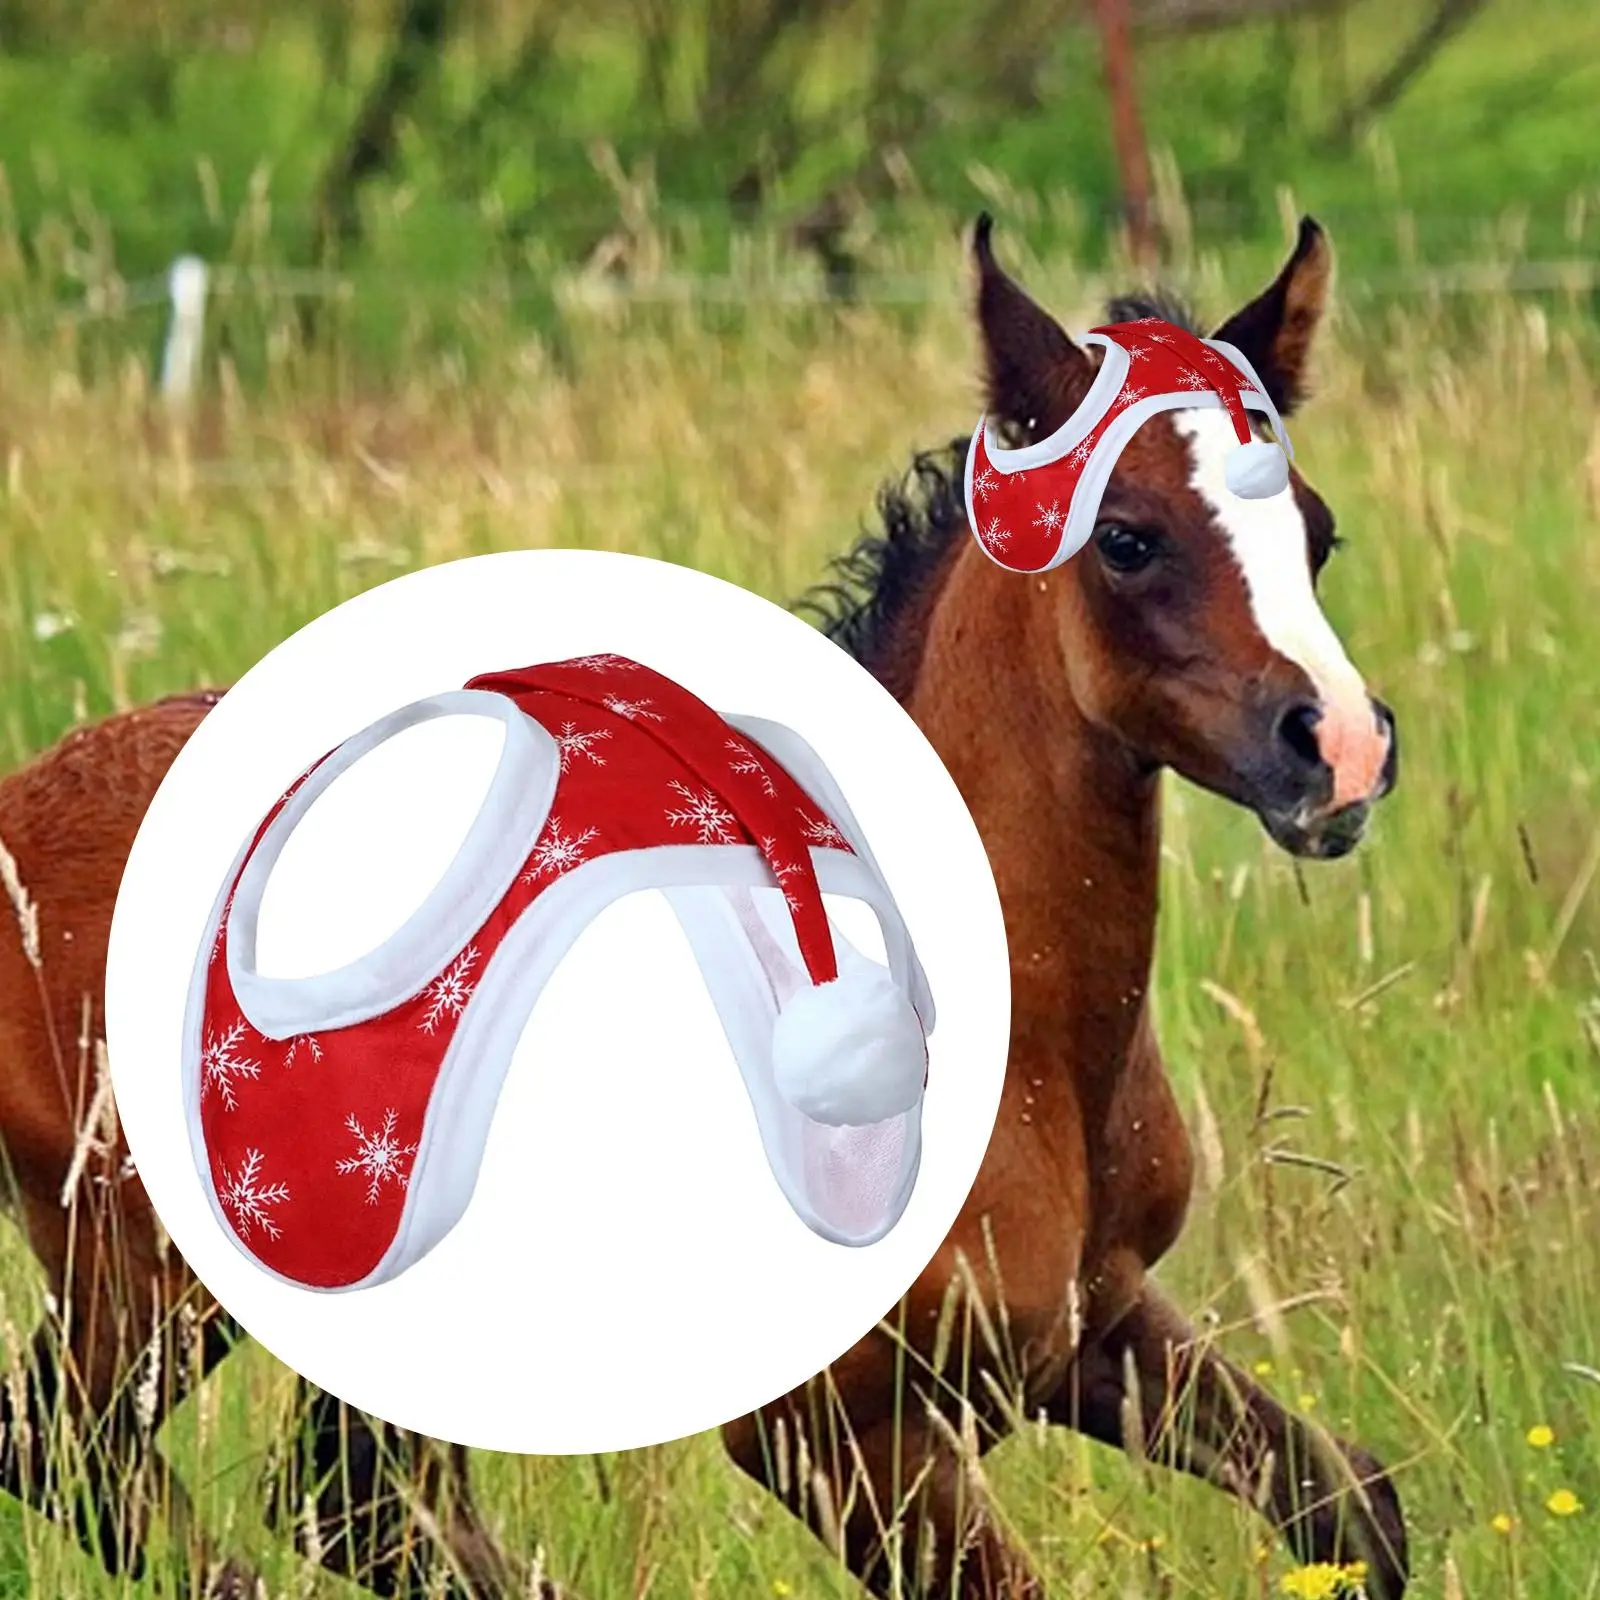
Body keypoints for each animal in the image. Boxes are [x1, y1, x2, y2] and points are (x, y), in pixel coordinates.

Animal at [722, 214, 1408, 1597]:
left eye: (1315, 533)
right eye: (1128, 538)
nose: (1344, 749)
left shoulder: (1102, 1316)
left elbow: (1349, 1501)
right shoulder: (829, 1434)